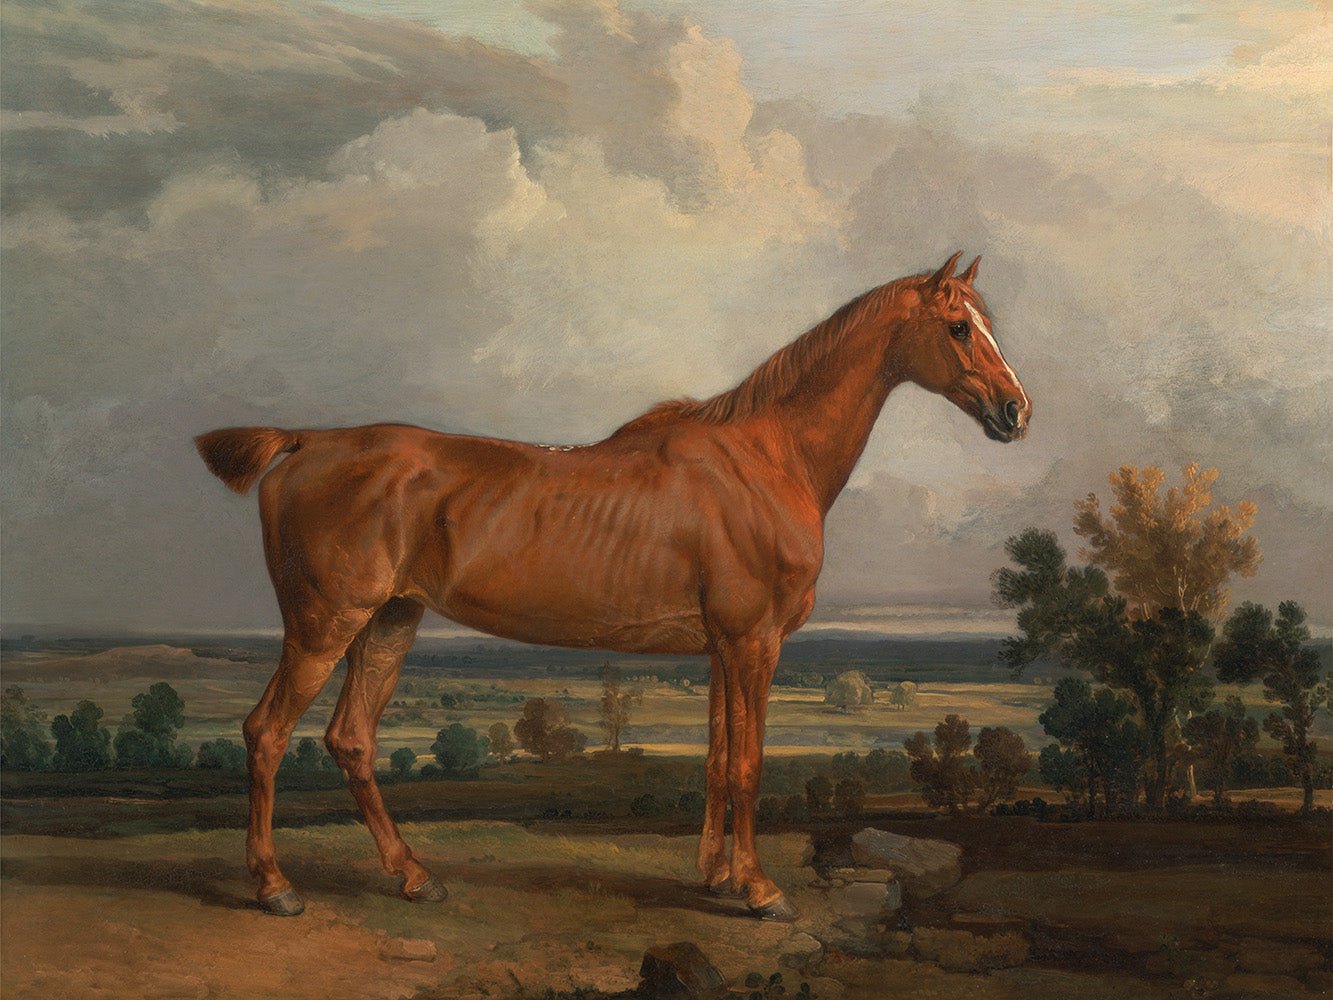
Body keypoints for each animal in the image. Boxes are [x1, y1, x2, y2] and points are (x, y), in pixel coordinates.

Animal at [195, 251, 1030, 920]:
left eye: (987, 324)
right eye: (958, 328)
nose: (1015, 411)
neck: (764, 459)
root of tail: (307, 442)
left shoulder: (722, 648)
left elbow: (719, 761)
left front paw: (717, 879)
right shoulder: (752, 643)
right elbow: (750, 764)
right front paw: (760, 892)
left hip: (389, 622)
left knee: (351, 739)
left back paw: (413, 877)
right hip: (324, 624)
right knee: (266, 733)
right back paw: (275, 887)